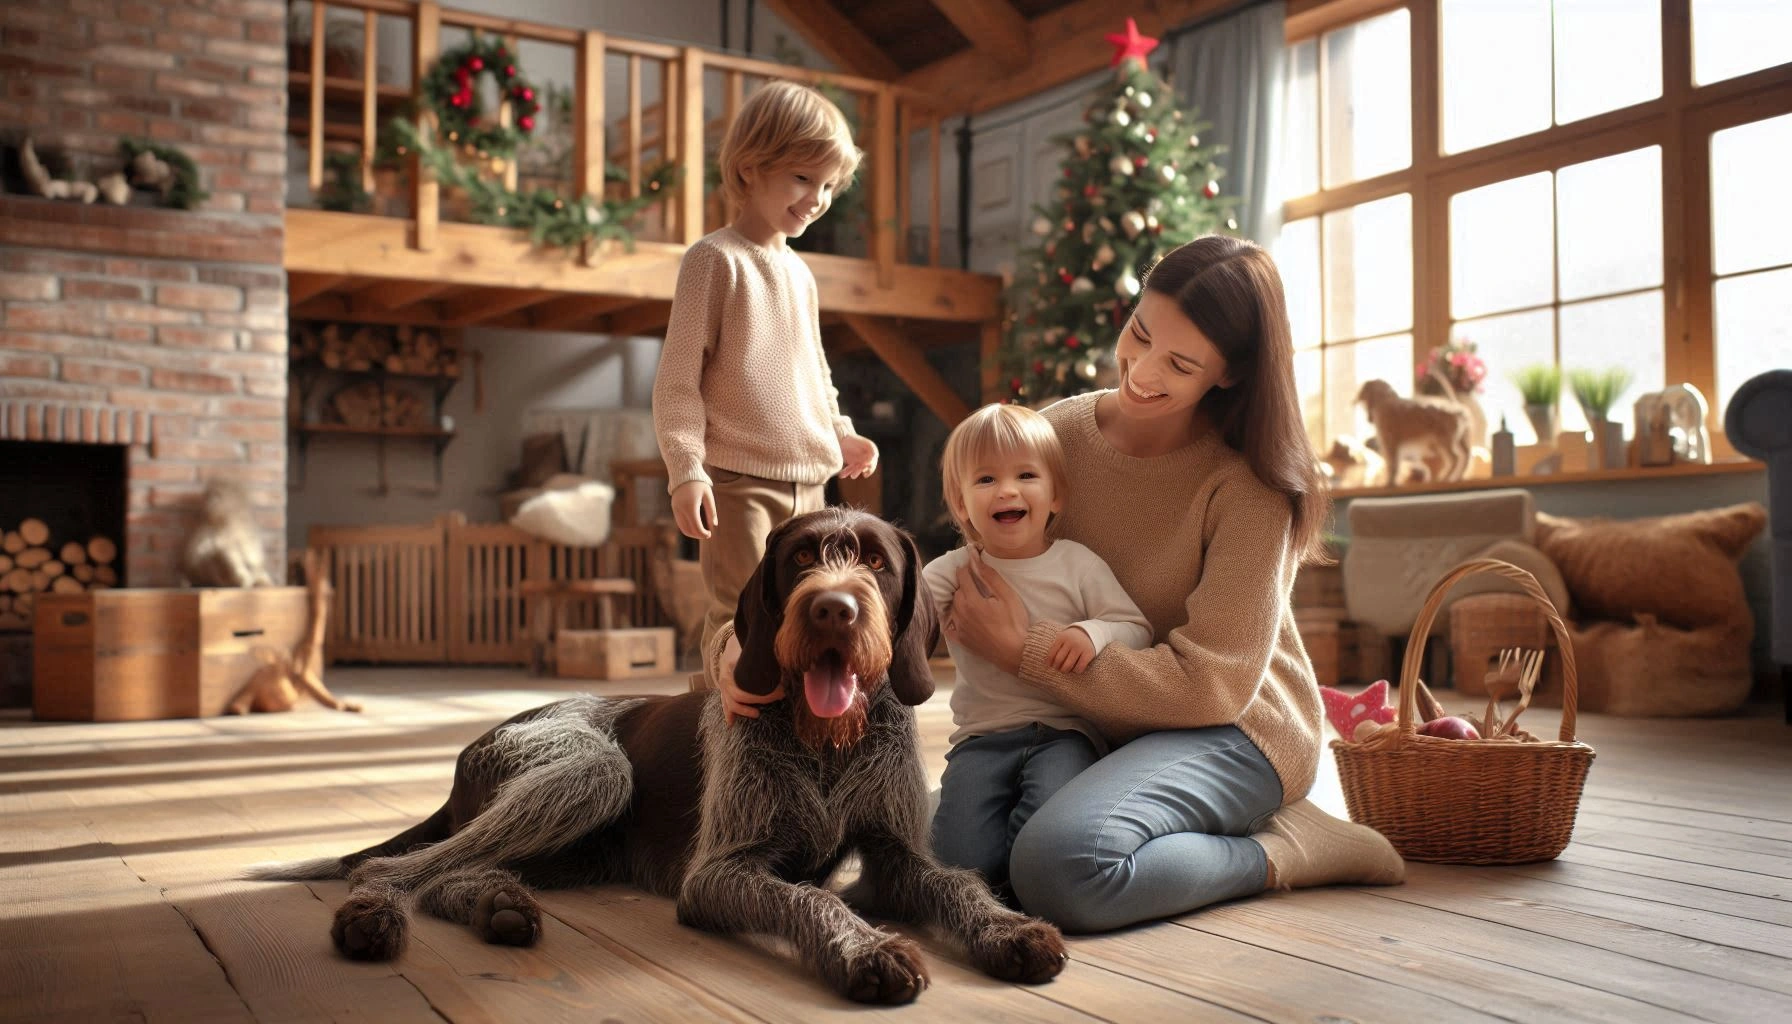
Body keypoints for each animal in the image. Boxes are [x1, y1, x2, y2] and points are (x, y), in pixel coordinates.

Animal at [247, 509, 1068, 1004]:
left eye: (875, 562)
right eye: (803, 558)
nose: (831, 609)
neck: (822, 742)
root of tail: (463, 758)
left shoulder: (899, 856)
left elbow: (956, 883)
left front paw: (1009, 929)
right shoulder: (719, 874)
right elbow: (814, 897)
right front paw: (867, 951)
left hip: (578, 846)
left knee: (454, 871)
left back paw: (498, 906)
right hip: (592, 773)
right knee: (399, 867)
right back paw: (375, 916)